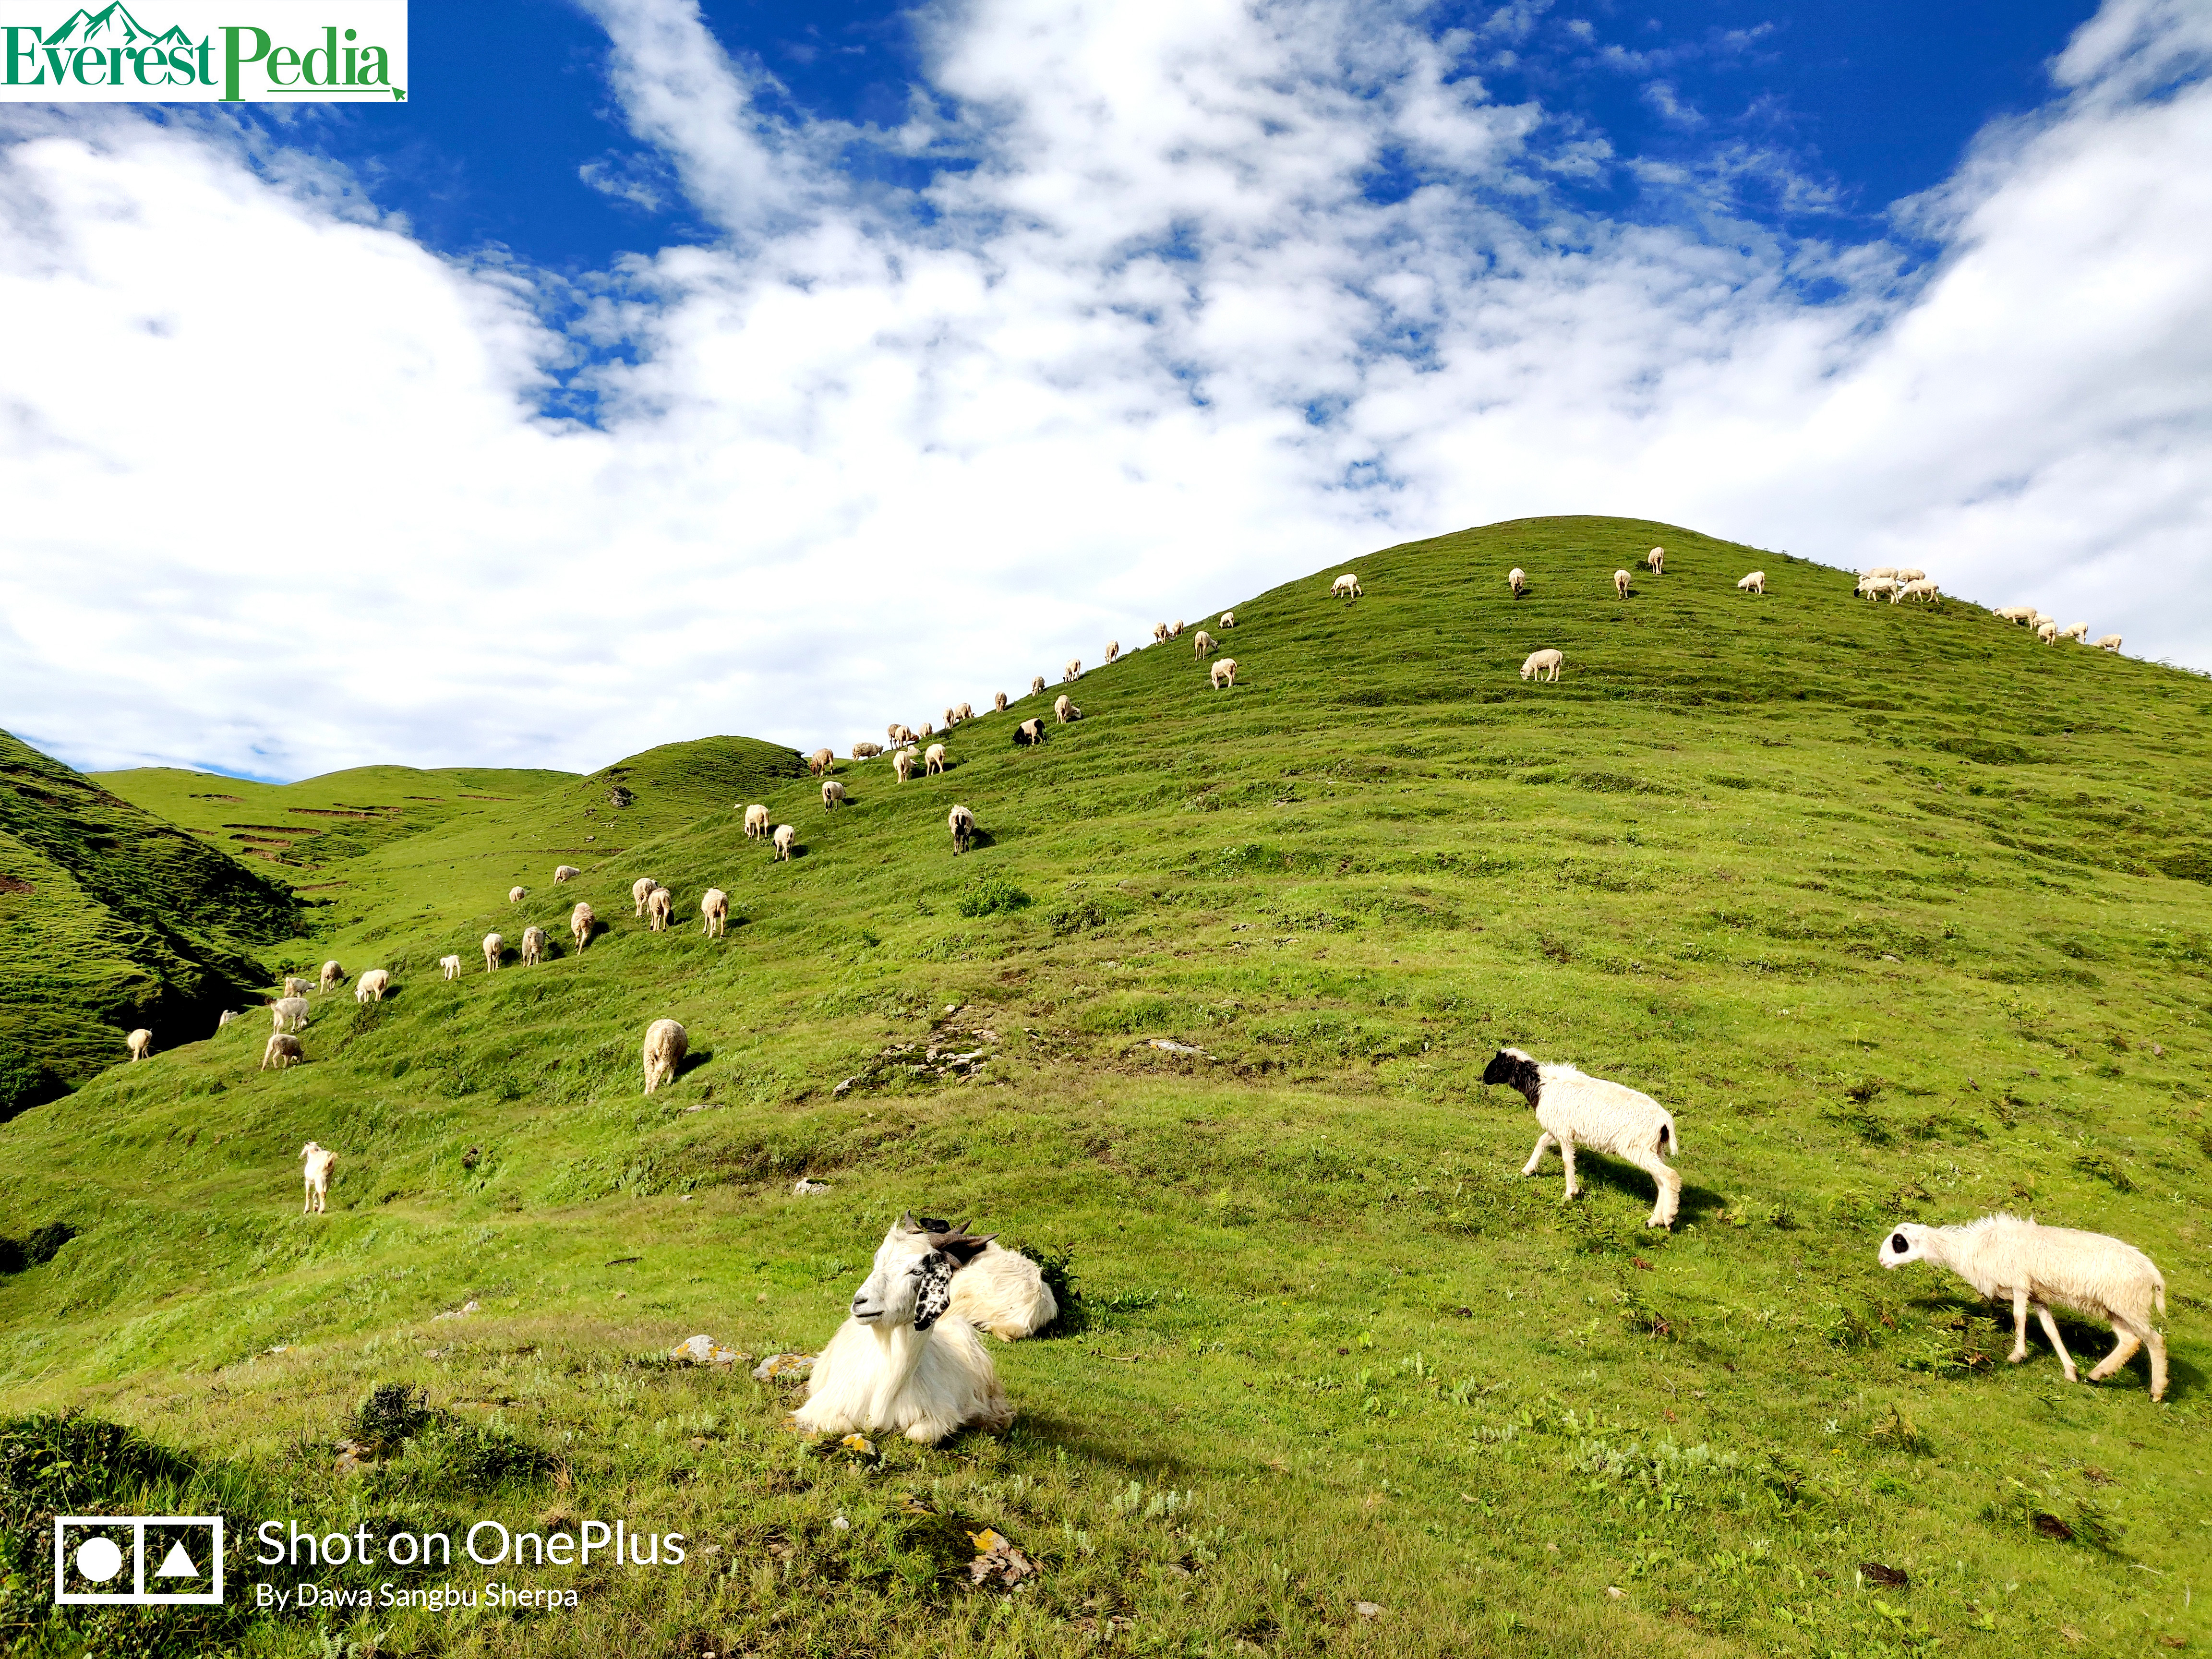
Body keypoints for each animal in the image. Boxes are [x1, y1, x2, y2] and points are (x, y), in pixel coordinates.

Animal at [303, 1141, 336, 1221]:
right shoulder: (317, 1181)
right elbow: (315, 1193)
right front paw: (315, 1207)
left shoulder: (308, 1182)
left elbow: (308, 1195)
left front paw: (306, 1210)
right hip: (327, 1180)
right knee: (324, 1193)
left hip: (320, 1179)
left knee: (322, 1194)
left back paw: (322, 1211)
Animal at [641, 1022, 681, 1097]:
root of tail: (659, 1036)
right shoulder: (676, 1057)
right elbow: (672, 1069)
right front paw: (669, 1081)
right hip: (666, 1053)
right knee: (657, 1074)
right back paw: (654, 1090)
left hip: (649, 1056)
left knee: (649, 1075)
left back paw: (647, 1092)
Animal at [787, 1212, 1013, 1451]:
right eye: (877, 1260)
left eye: (917, 1271)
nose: (860, 1302)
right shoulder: (822, 1407)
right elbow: (842, 1427)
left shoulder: (941, 1415)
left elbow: (919, 1435)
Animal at [1478, 1053, 1681, 1238]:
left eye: (1499, 1064)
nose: (1484, 1077)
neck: (1541, 1086)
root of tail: (1665, 1121)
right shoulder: (1557, 1127)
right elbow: (1541, 1142)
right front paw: (1527, 1170)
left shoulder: (1563, 1131)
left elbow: (1567, 1161)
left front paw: (1570, 1193)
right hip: (1654, 1149)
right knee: (1661, 1182)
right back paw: (1655, 1220)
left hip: (1639, 1148)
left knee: (1670, 1177)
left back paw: (1669, 1219)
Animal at [1875, 1221, 2167, 1407]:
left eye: (1899, 1242)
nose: (1881, 1261)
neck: (1973, 1248)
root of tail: (2154, 1274)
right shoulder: (2037, 1296)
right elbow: (2051, 1330)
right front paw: (2070, 1371)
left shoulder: (2019, 1284)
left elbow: (2019, 1318)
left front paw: (2017, 1355)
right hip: (2115, 1308)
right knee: (2130, 1341)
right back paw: (2098, 1374)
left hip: (2129, 1306)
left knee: (2155, 1340)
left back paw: (2156, 1391)